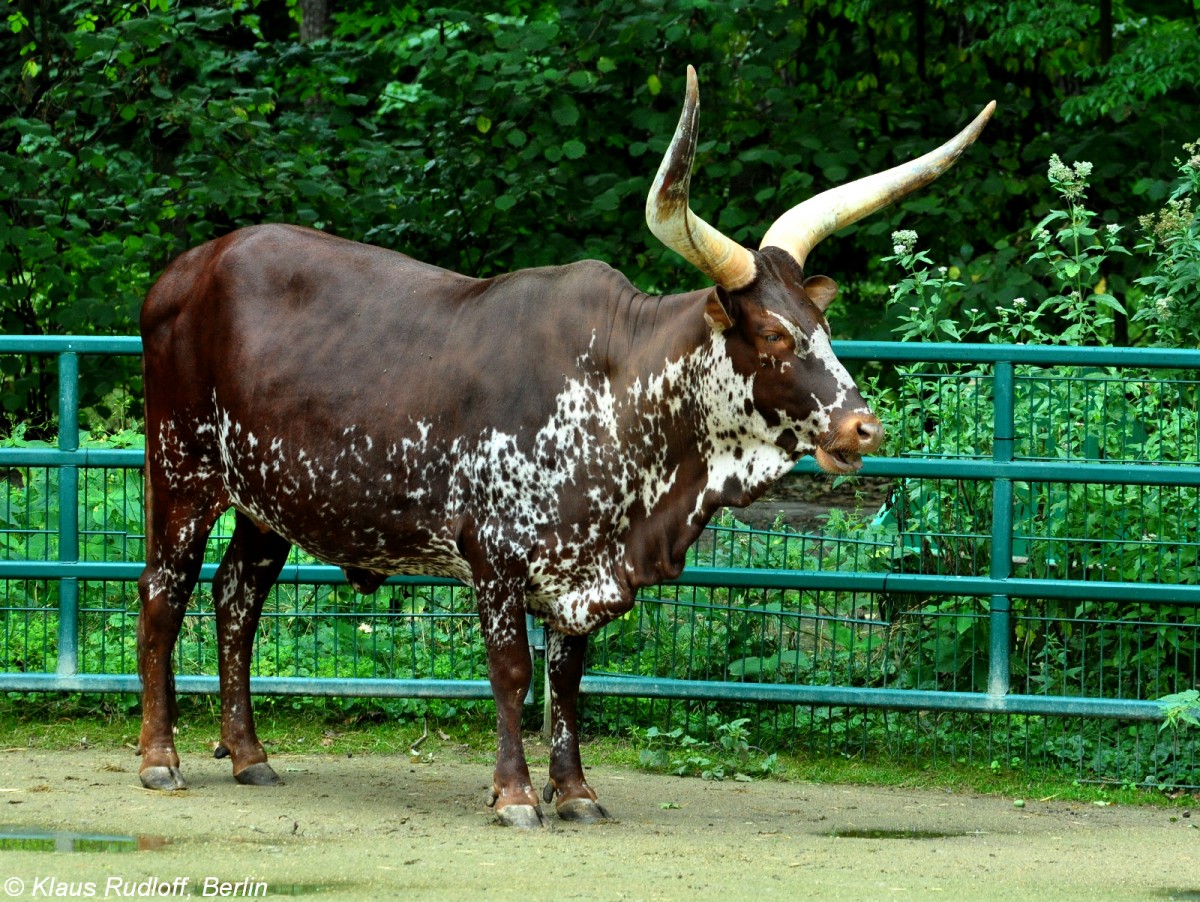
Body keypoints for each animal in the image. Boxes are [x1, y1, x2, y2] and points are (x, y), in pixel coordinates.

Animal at [136, 66, 993, 830]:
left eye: (823, 327)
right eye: (776, 336)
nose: (863, 428)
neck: (619, 393)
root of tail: (186, 269)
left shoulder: (583, 564)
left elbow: (570, 679)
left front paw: (575, 791)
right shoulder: (495, 557)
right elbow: (514, 674)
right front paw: (516, 795)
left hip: (267, 503)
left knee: (236, 600)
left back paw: (249, 754)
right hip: (182, 473)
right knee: (163, 593)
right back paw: (160, 757)